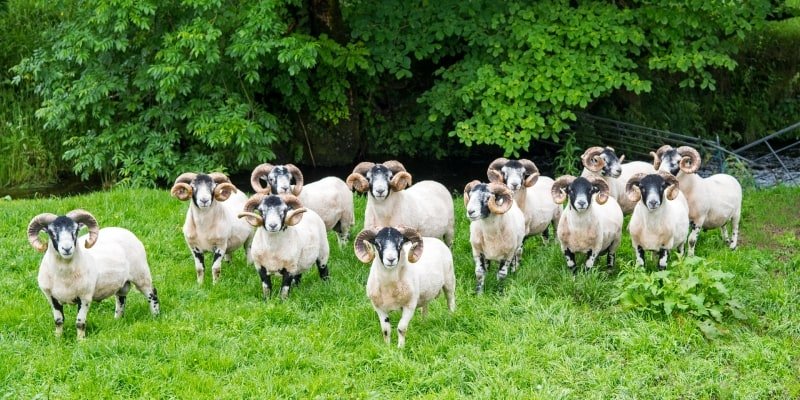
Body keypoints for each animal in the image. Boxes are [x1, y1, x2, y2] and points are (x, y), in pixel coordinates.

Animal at [27, 209, 160, 339]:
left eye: (75, 230)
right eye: (51, 232)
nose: (67, 249)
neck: (63, 275)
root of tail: (124, 231)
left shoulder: (85, 296)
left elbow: (80, 323)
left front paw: (80, 341)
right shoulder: (51, 297)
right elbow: (59, 321)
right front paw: (58, 339)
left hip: (141, 274)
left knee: (152, 294)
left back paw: (155, 317)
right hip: (122, 283)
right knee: (121, 299)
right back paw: (117, 320)